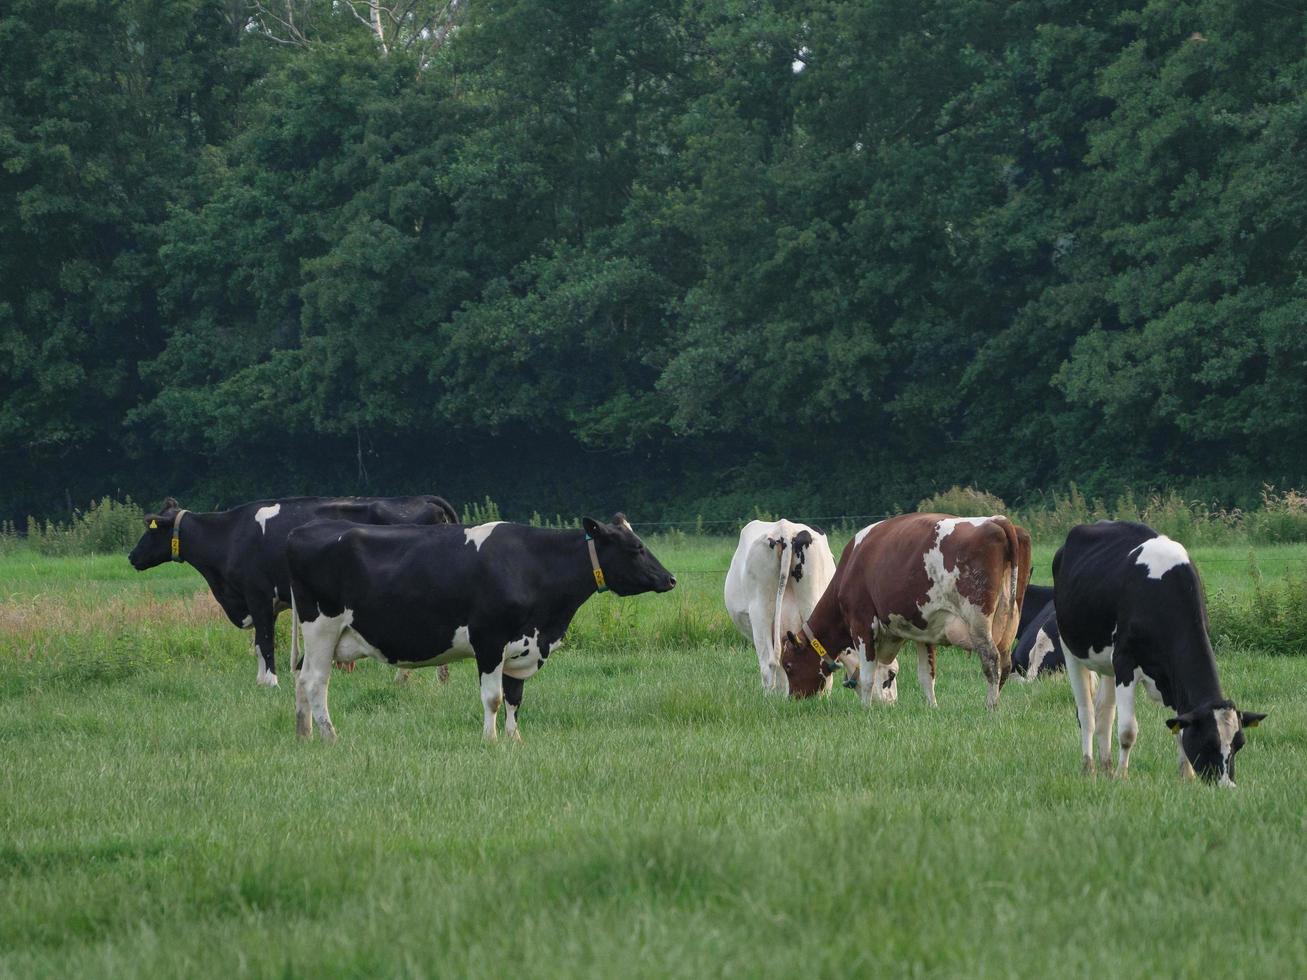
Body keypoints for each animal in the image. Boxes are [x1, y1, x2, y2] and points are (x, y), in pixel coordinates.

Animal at [127, 491, 454, 689]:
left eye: (151, 530)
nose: (131, 556)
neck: (231, 536)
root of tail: (421, 498)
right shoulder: (265, 603)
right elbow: (259, 643)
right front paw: (261, 679)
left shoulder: (257, 595)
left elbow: (266, 640)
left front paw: (271, 681)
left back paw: (408, 676)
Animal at [286, 517, 674, 742]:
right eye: (636, 547)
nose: (670, 579)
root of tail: (301, 531)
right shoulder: (489, 640)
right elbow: (493, 697)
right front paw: (490, 741)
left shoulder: (522, 645)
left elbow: (515, 698)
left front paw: (515, 740)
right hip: (322, 628)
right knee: (316, 681)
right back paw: (330, 736)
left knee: (301, 679)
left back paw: (303, 734)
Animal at [1045, 517, 1259, 789]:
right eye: (1208, 742)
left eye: (1239, 744)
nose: (1226, 786)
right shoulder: (1125, 662)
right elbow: (1127, 730)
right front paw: (1122, 775)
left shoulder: (1168, 677)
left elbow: (1178, 726)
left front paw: (1185, 775)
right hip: (1071, 649)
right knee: (1087, 714)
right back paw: (1090, 768)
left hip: (1108, 663)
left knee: (1104, 713)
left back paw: (1106, 767)